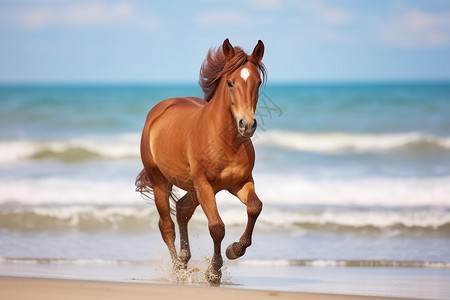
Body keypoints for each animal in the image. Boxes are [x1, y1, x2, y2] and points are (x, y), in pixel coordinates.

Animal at [135, 38, 266, 284]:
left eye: (258, 82)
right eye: (230, 83)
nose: (247, 125)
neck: (225, 141)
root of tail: (157, 111)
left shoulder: (240, 183)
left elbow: (255, 207)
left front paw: (235, 249)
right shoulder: (204, 184)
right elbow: (217, 227)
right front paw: (214, 272)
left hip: (194, 188)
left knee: (182, 209)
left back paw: (184, 259)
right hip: (161, 182)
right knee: (167, 225)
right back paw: (177, 269)